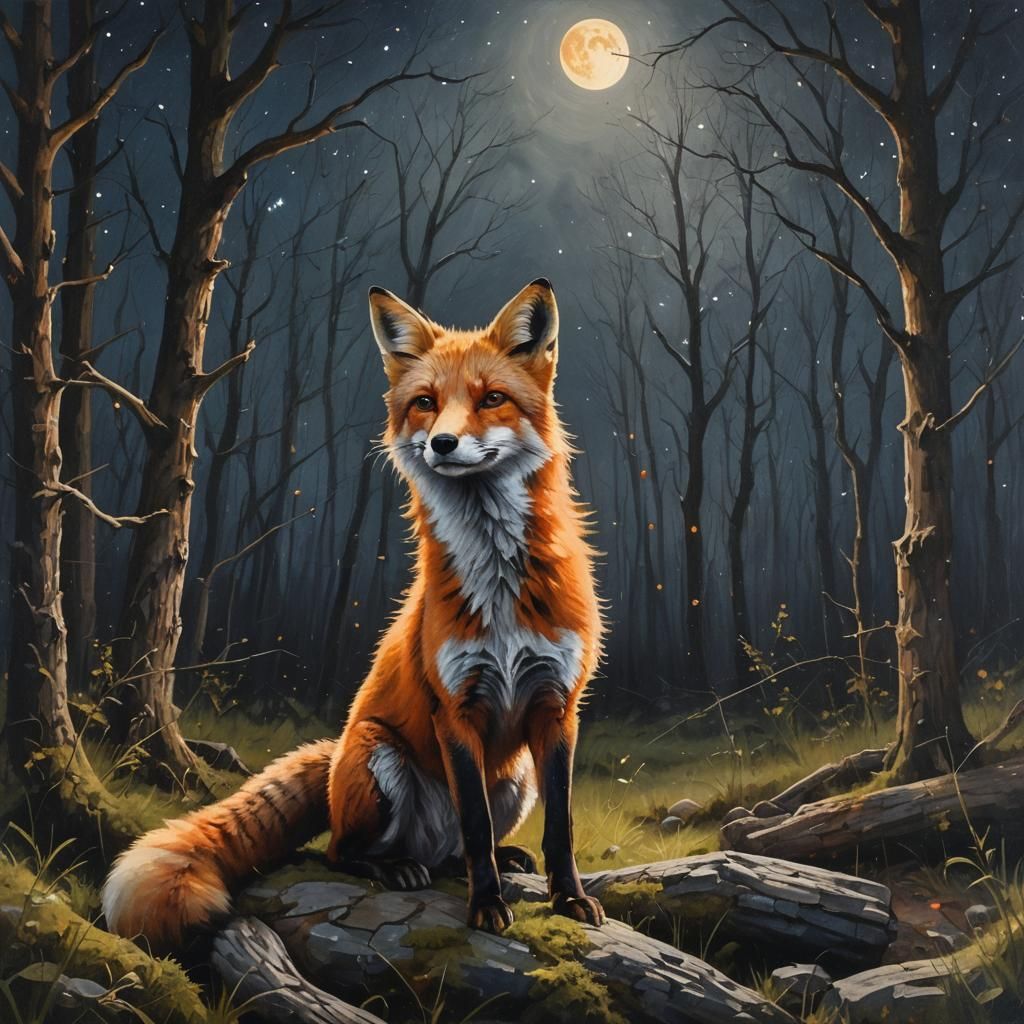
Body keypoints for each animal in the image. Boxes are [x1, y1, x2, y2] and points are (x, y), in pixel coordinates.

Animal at [101, 278, 605, 949]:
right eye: (425, 404)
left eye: (492, 399)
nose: (443, 443)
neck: (500, 588)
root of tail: (333, 749)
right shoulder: (454, 710)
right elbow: (474, 826)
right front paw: (486, 907)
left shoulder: (558, 705)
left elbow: (561, 828)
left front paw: (569, 898)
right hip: (376, 755)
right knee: (345, 850)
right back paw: (395, 868)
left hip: (515, 776)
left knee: (456, 849)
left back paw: (489, 860)